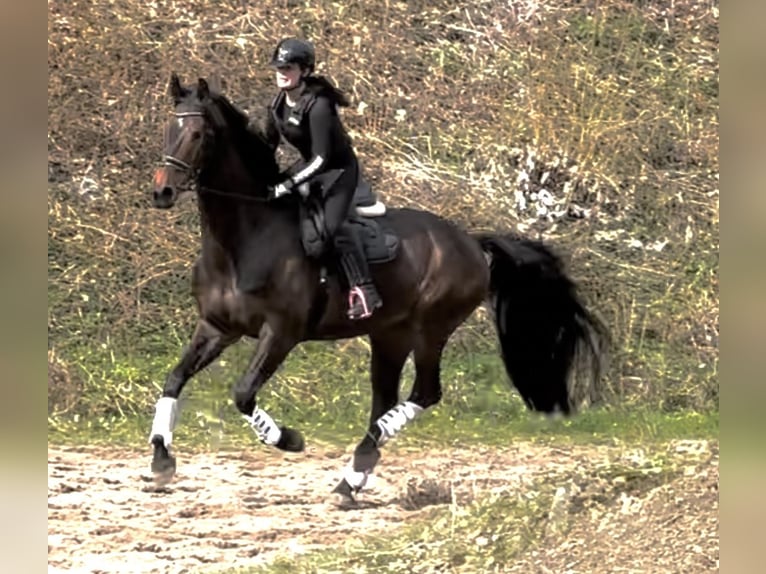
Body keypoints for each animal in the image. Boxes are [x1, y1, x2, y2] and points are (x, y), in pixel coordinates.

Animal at [147, 74, 608, 506]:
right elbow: (173, 379)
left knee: (424, 393)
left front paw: (289, 439)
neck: (245, 239)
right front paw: (162, 457)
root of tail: (472, 244)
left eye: (198, 133)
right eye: (168, 128)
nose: (162, 191)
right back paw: (353, 477)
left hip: (431, 328)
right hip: (389, 333)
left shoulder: (281, 333)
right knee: (385, 397)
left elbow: (243, 394)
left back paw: (365, 456)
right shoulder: (216, 328)